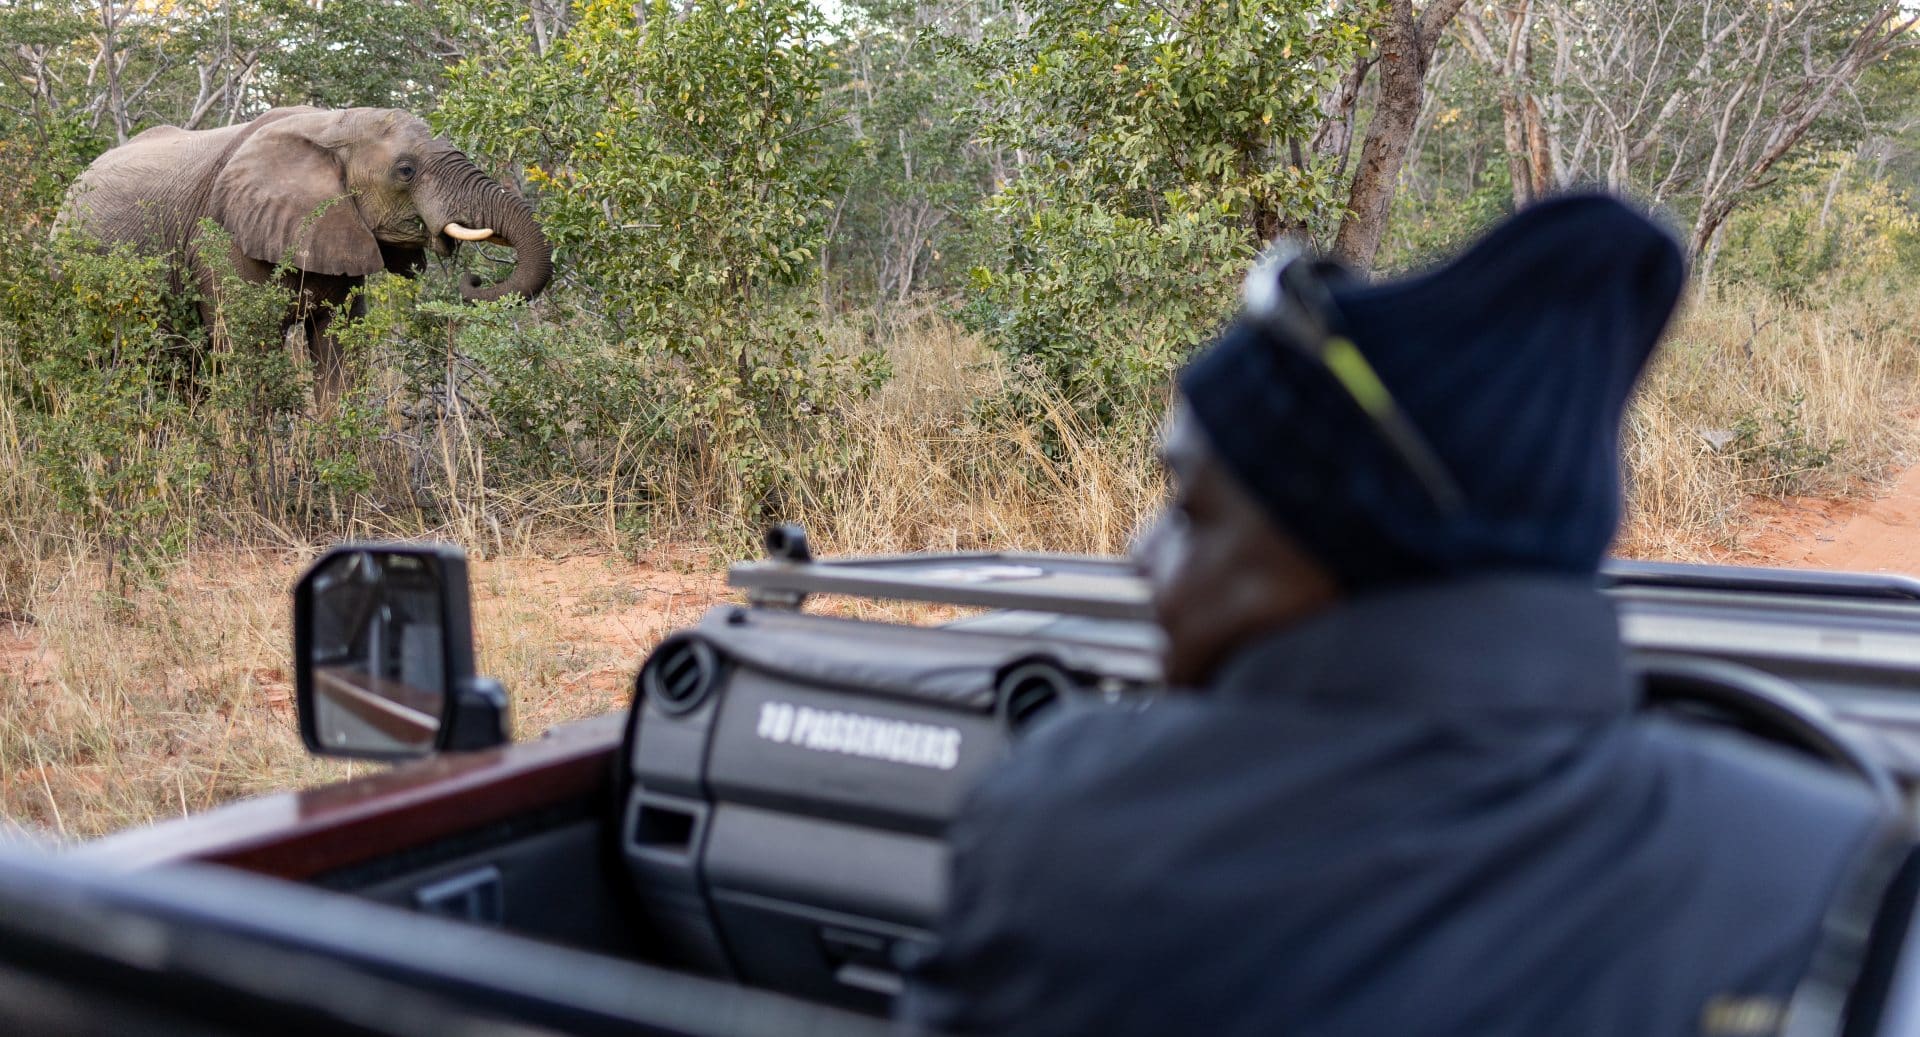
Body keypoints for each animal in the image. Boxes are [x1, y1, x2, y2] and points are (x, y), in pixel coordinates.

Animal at [54, 106, 552, 405]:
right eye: (405, 171)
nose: (473, 281)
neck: (331, 126)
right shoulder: (223, 242)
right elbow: (245, 352)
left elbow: (338, 356)